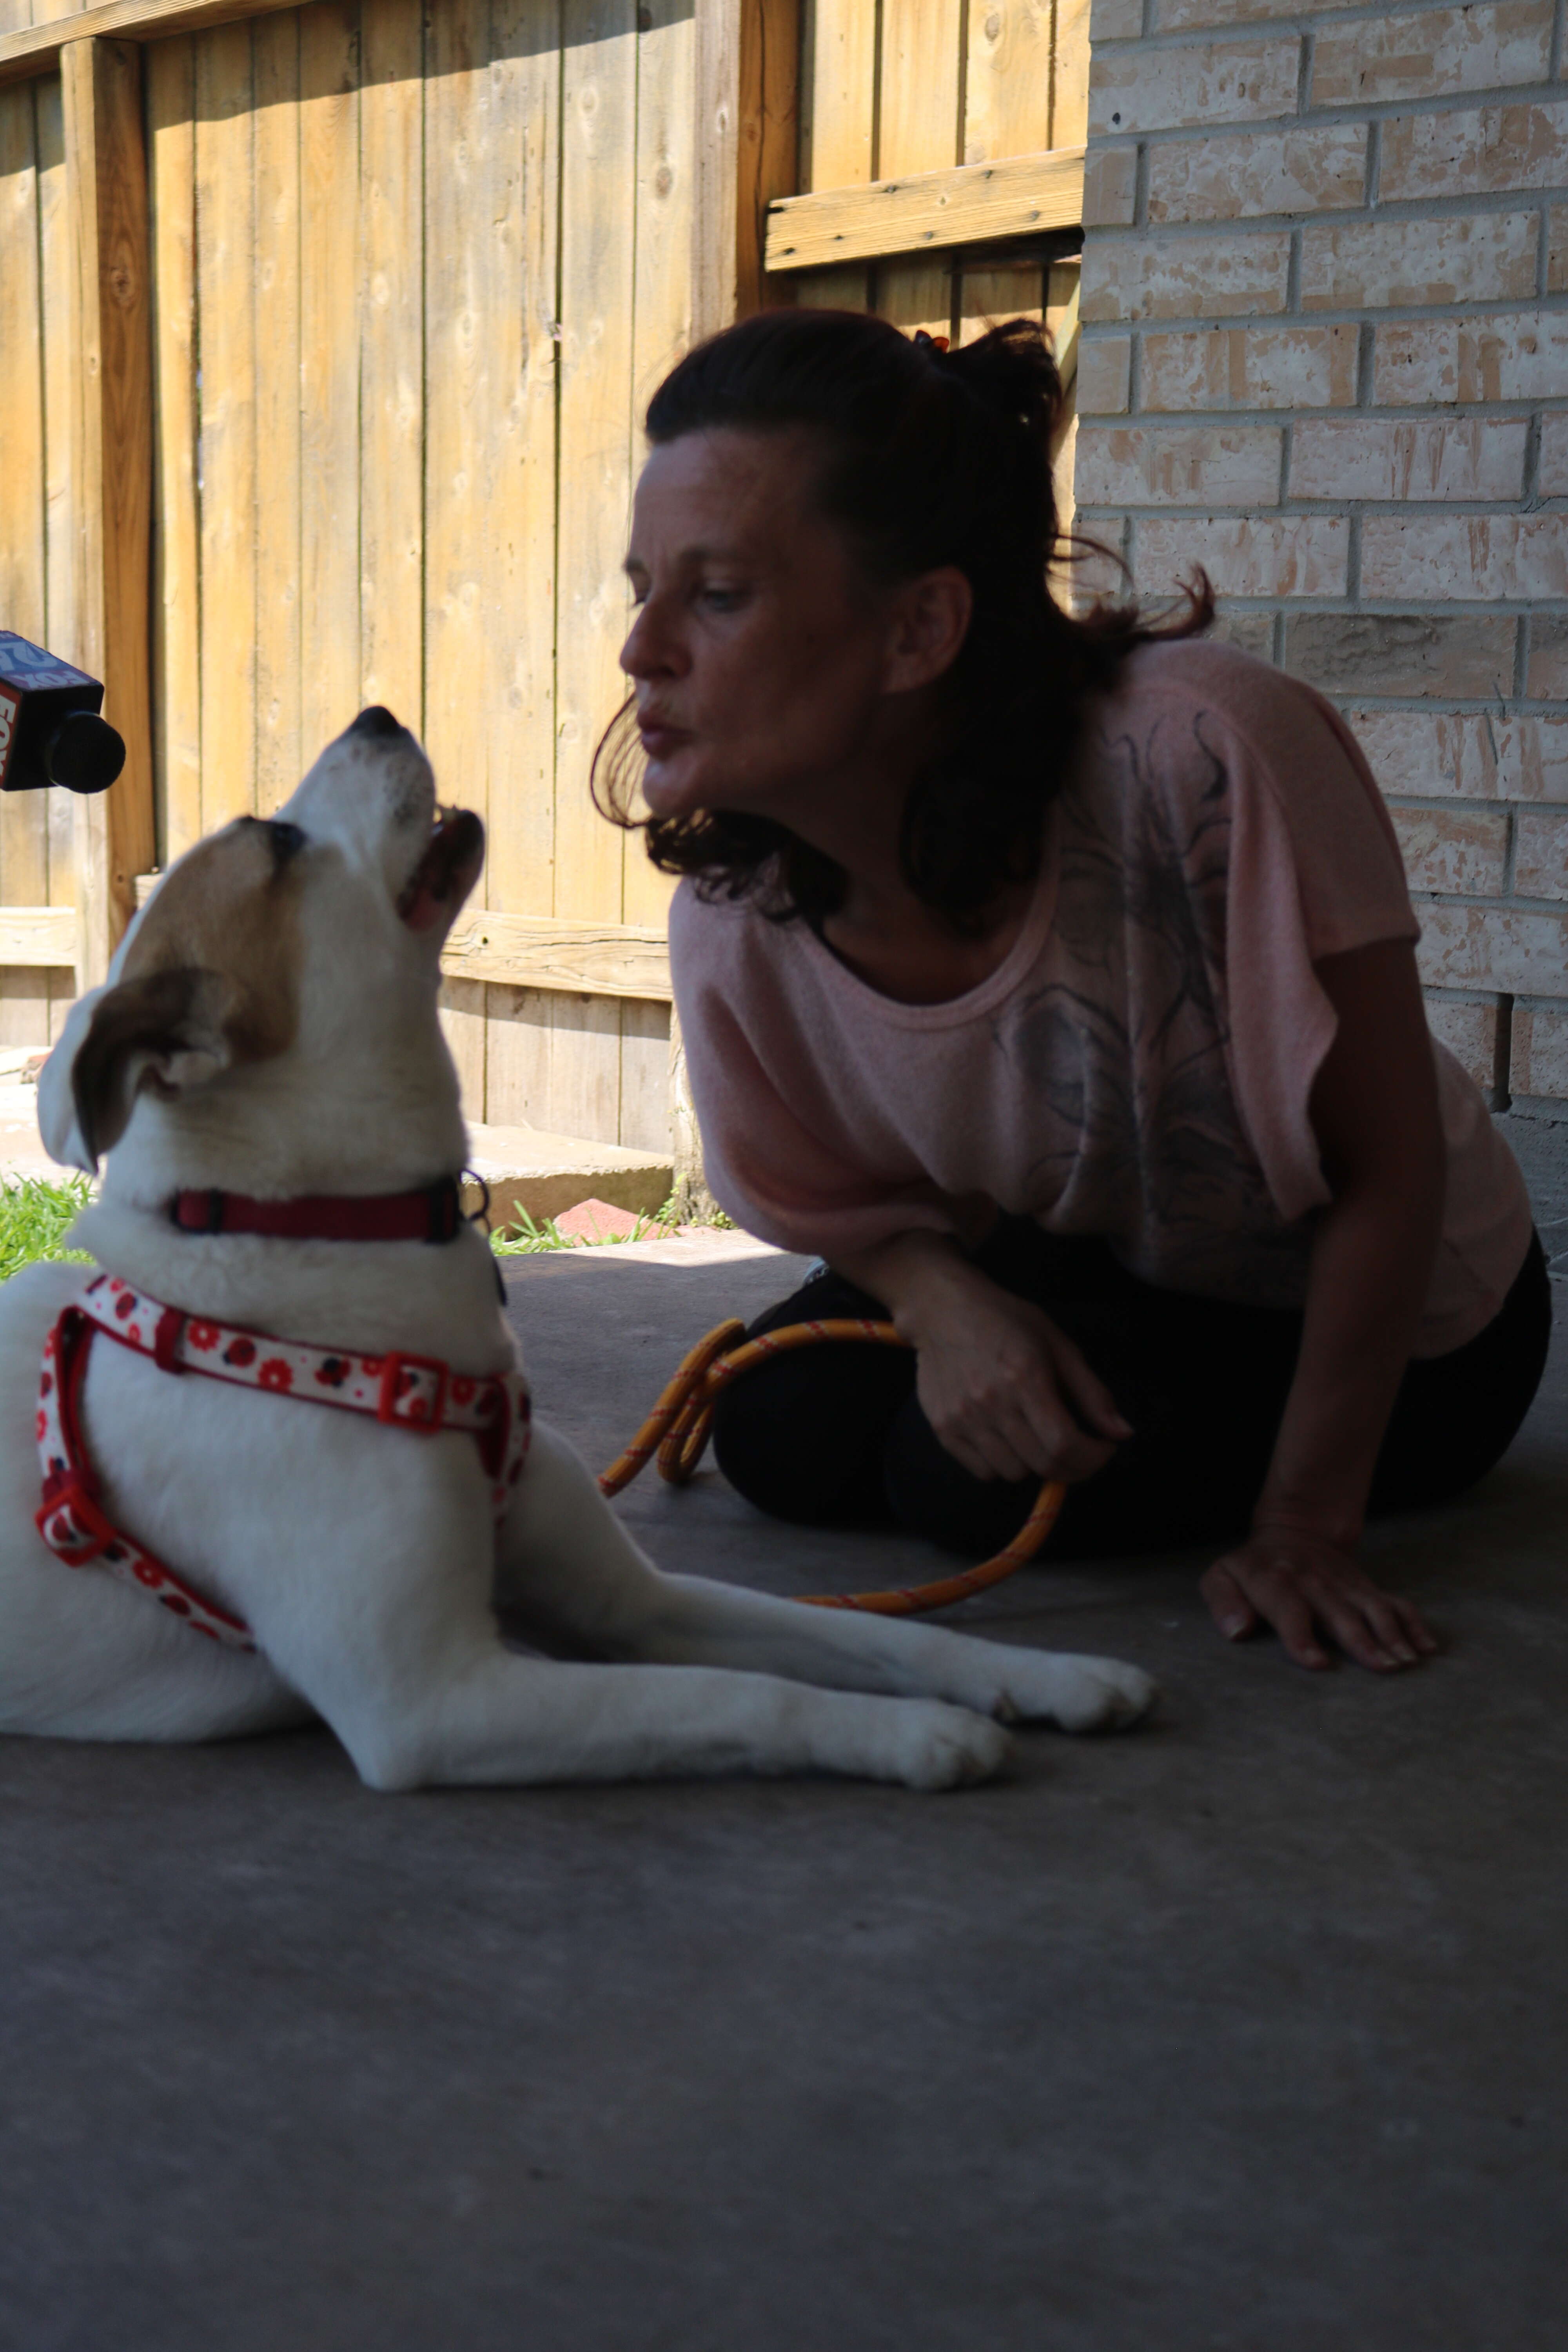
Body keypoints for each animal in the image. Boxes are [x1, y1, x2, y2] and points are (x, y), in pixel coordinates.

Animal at [0, 706, 1161, 1788]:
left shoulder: (633, 1602)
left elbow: (864, 1629)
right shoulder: (438, 1700)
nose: (377, 714)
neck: (314, 1245)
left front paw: (1048, 1676)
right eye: (279, 843)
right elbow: (745, 1696)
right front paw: (913, 1734)